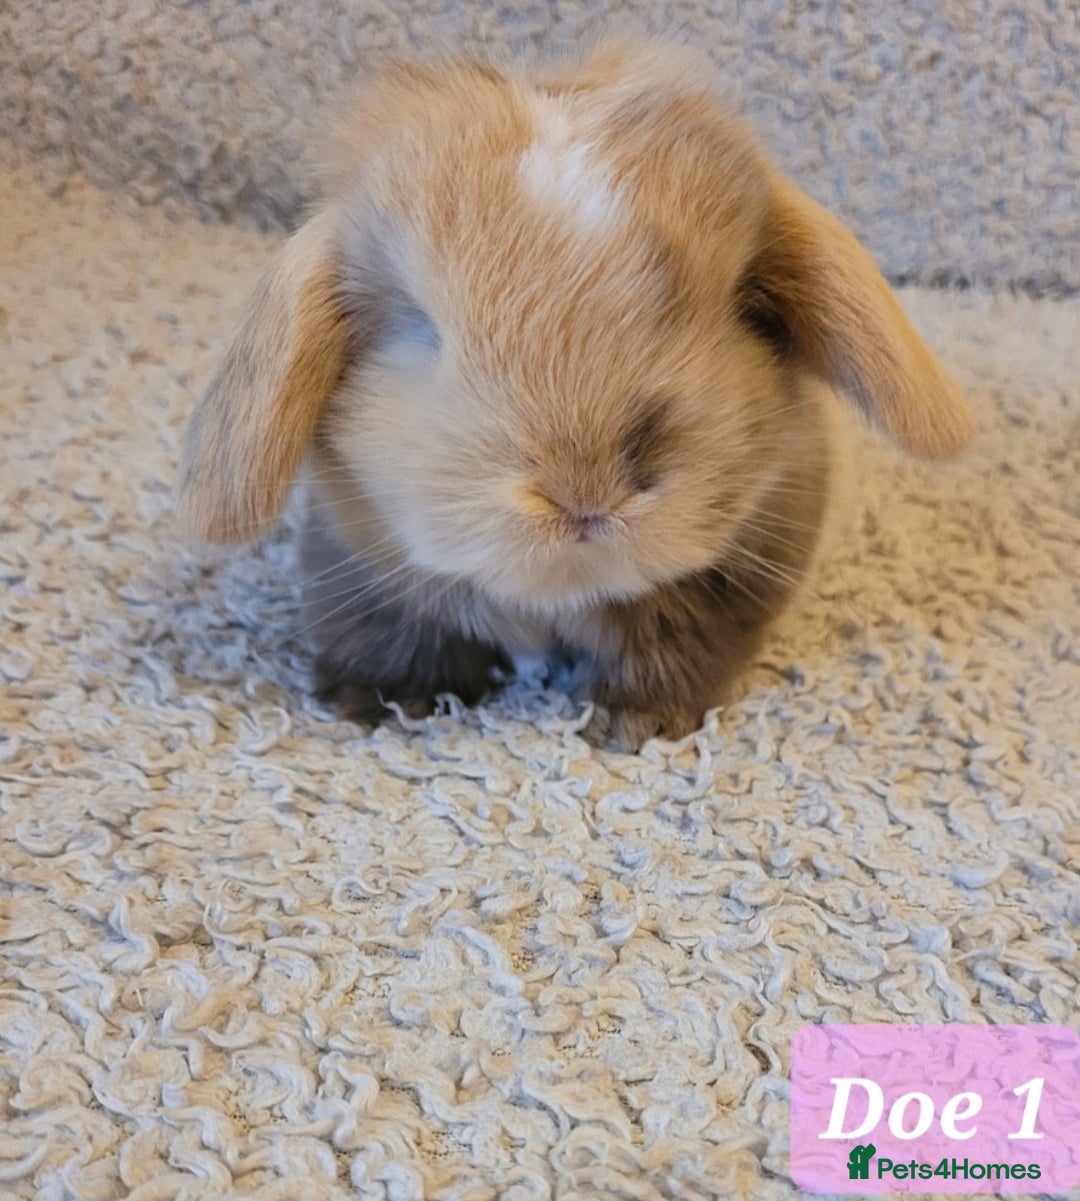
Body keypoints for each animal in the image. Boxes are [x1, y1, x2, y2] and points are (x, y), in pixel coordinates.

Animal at [177, 38, 975, 750]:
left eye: (738, 304)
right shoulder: (359, 561)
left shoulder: (728, 576)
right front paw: (380, 706)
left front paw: (632, 728)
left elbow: (670, 647)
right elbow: (390, 633)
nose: (584, 493)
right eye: (423, 329)